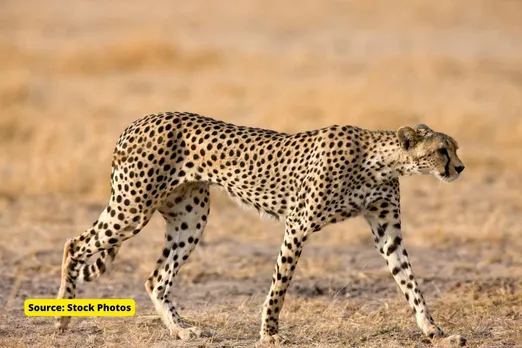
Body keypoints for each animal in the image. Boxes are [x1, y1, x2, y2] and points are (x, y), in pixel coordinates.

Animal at [54, 111, 466, 346]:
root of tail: (138, 121)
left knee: (156, 278)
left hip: (190, 217)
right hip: (132, 208)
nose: (460, 168)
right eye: (442, 151)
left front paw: (436, 332)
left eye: (455, 147)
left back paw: (182, 331)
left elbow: (410, 282)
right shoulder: (298, 225)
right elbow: (279, 286)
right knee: (73, 244)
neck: (379, 161)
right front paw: (269, 333)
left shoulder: (387, 233)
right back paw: (62, 318)